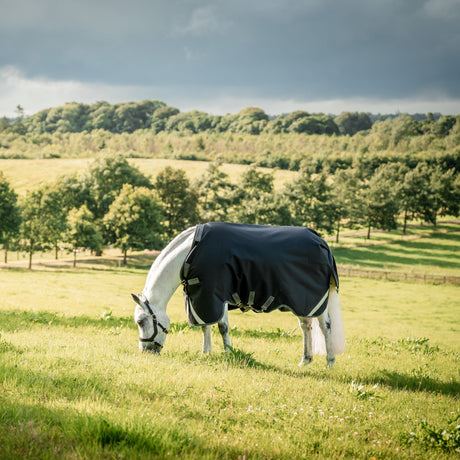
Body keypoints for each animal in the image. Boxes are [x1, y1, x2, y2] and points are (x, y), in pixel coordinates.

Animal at [131, 222, 344, 366]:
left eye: (141, 322)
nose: (146, 351)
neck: (190, 253)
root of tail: (323, 243)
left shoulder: (216, 295)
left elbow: (222, 327)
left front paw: (227, 353)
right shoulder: (201, 298)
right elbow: (205, 326)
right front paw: (205, 353)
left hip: (314, 300)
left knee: (325, 326)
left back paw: (329, 361)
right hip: (303, 303)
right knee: (306, 326)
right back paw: (305, 360)